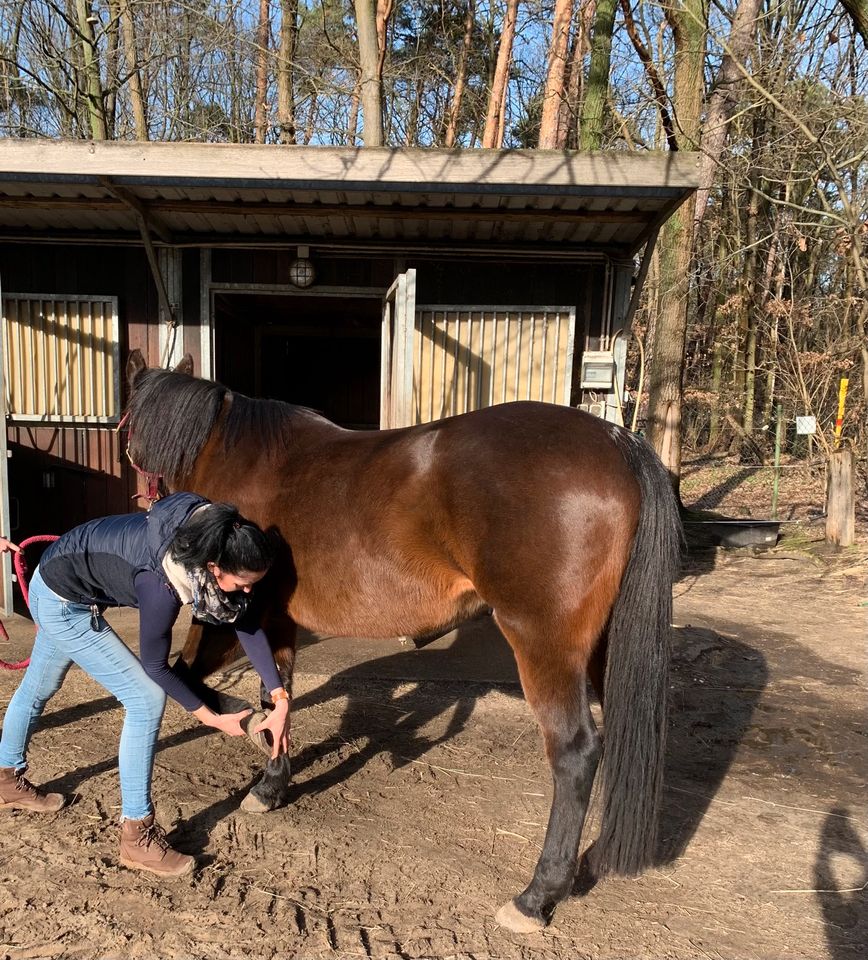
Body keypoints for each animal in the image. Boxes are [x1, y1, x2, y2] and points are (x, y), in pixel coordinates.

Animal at [122, 348, 680, 932]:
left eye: (127, 424)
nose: (143, 500)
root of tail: (616, 442)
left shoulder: (236, 617)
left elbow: (190, 676)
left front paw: (251, 737)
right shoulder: (278, 623)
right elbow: (278, 694)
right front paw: (272, 778)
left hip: (543, 644)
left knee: (575, 752)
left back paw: (536, 896)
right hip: (602, 650)